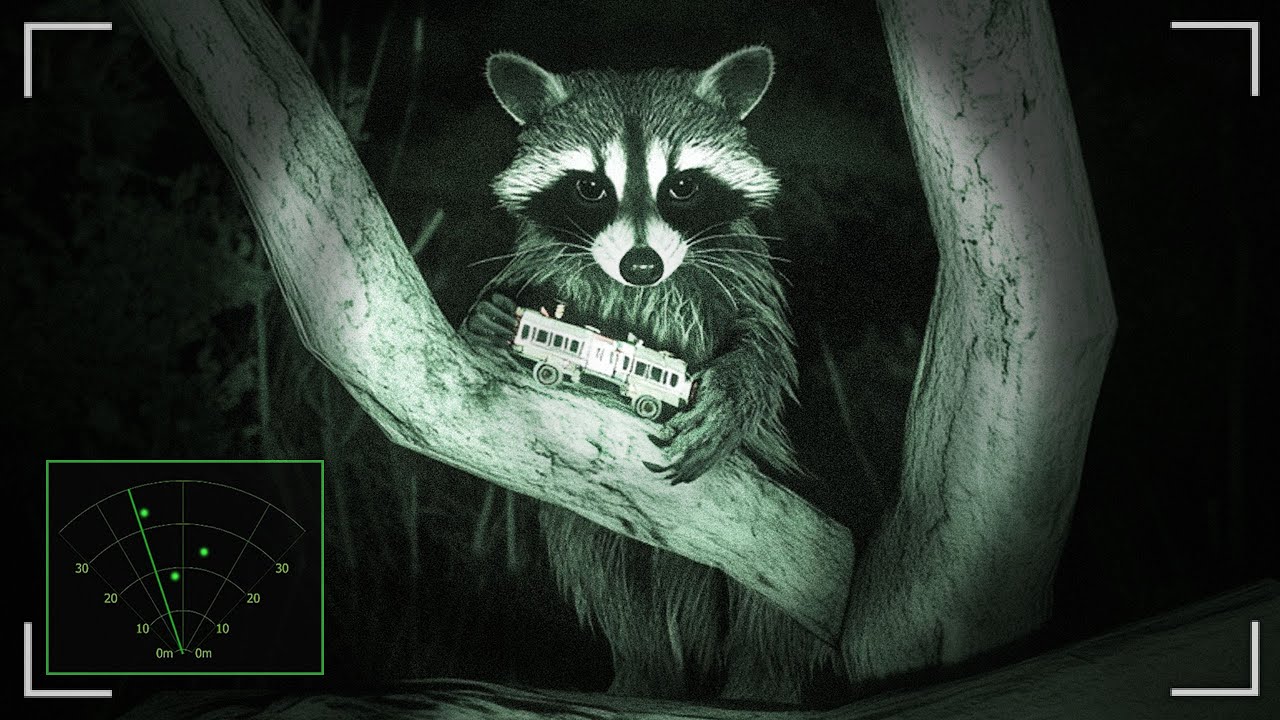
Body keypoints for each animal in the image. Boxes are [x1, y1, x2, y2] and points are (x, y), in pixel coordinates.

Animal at [463, 47, 829, 701]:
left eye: (681, 185)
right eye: (590, 188)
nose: (641, 266)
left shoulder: (743, 270)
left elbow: (763, 346)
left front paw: (730, 394)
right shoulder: (542, 263)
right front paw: (487, 319)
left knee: (773, 624)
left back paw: (762, 686)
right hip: (590, 524)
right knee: (601, 571)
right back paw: (644, 664)